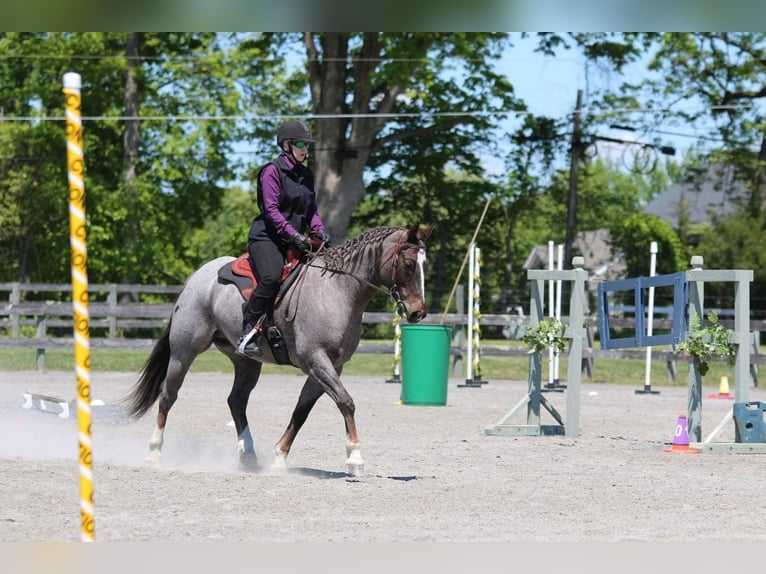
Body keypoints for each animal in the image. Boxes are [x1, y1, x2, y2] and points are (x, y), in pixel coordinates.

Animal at [129, 223, 436, 480]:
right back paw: (153, 454)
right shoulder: (316, 361)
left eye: (425, 264)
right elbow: (346, 402)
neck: (337, 290)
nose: (418, 312)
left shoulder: (329, 367)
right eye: (409, 264)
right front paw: (355, 458)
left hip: (246, 362)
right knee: (168, 395)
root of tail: (198, 278)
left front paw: (279, 458)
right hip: (184, 351)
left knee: (236, 401)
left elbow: (301, 411)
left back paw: (248, 456)